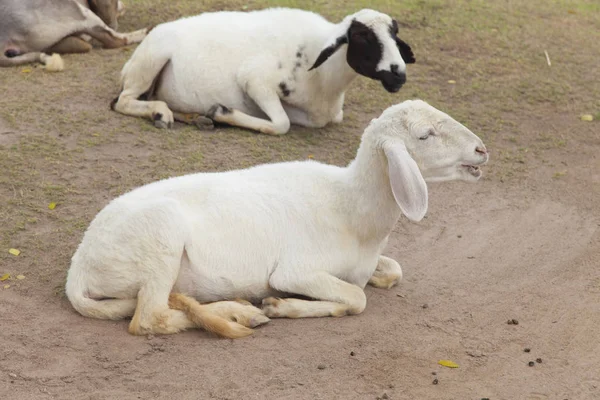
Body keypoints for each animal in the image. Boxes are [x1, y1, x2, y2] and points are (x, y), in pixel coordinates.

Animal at [65, 100, 488, 338]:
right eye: (425, 135)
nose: (482, 150)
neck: (352, 206)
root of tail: (79, 269)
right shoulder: (295, 271)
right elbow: (357, 298)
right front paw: (283, 306)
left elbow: (391, 272)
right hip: (159, 237)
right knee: (149, 319)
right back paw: (244, 315)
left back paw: (239, 310)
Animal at [110, 7, 414, 134]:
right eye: (362, 36)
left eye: (394, 34)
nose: (398, 73)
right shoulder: (255, 81)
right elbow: (281, 125)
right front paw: (224, 113)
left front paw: (216, 114)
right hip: (149, 62)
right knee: (122, 102)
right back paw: (161, 113)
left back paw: (196, 118)